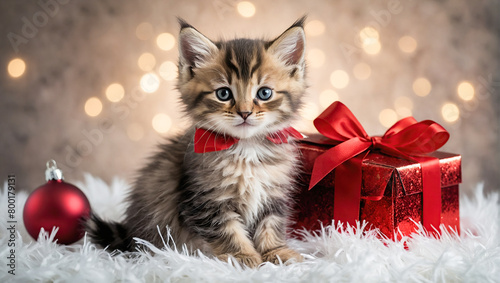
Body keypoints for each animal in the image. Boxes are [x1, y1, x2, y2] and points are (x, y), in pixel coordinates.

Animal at [86, 18, 306, 268]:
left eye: (265, 93)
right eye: (223, 94)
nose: (245, 113)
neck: (246, 148)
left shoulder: (273, 194)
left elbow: (271, 225)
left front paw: (277, 252)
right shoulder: (205, 200)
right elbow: (228, 231)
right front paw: (243, 257)